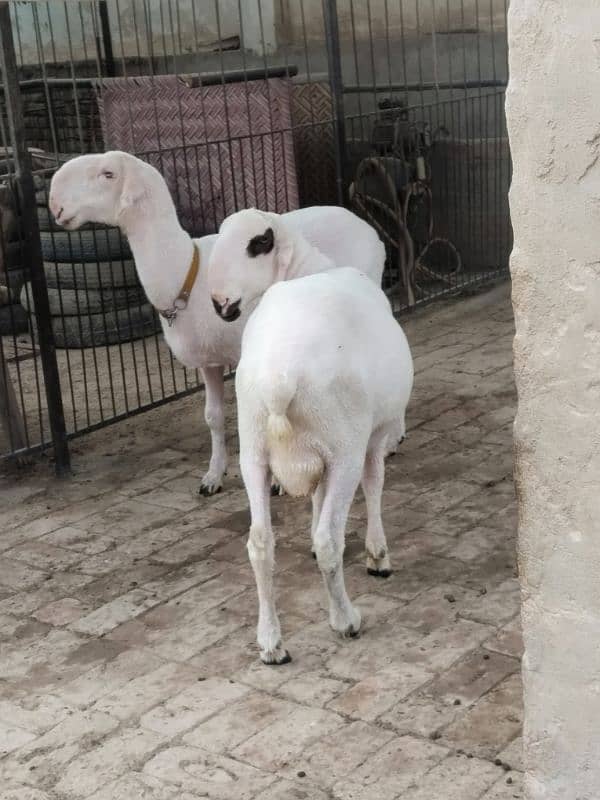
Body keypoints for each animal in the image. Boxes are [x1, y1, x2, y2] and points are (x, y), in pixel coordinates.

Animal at [48, 152, 384, 494]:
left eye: (108, 174)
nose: (55, 205)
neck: (184, 271)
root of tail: (361, 222)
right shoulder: (208, 361)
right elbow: (213, 416)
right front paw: (213, 475)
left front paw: (277, 480)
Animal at [229, 262, 412, 664]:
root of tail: (278, 377)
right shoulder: (371, 439)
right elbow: (374, 483)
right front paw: (378, 555)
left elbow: (316, 496)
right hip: (344, 446)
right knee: (330, 539)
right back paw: (345, 620)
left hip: (253, 451)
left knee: (260, 544)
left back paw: (271, 643)